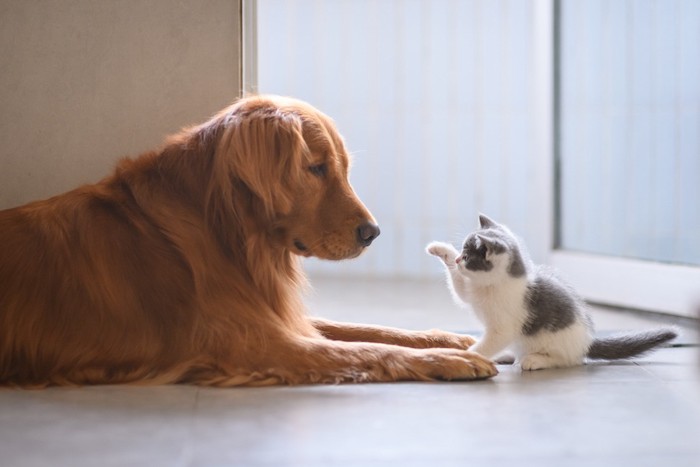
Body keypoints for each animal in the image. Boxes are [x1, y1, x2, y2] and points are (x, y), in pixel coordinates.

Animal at [0, 95, 498, 388]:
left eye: (341, 168)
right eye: (316, 168)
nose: (372, 233)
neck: (226, 235)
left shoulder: (275, 315)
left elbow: (373, 330)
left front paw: (450, 340)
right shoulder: (255, 343)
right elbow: (371, 348)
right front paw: (448, 359)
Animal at [426, 214, 680, 372]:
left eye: (468, 256)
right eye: (461, 252)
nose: (459, 260)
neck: (491, 286)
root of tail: (587, 340)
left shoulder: (504, 328)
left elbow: (488, 343)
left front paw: (469, 355)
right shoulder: (471, 291)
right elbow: (459, 288)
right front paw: (439, 249)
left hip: (557, 342)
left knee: (568, 361)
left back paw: (534, 360)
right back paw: (505, 355)